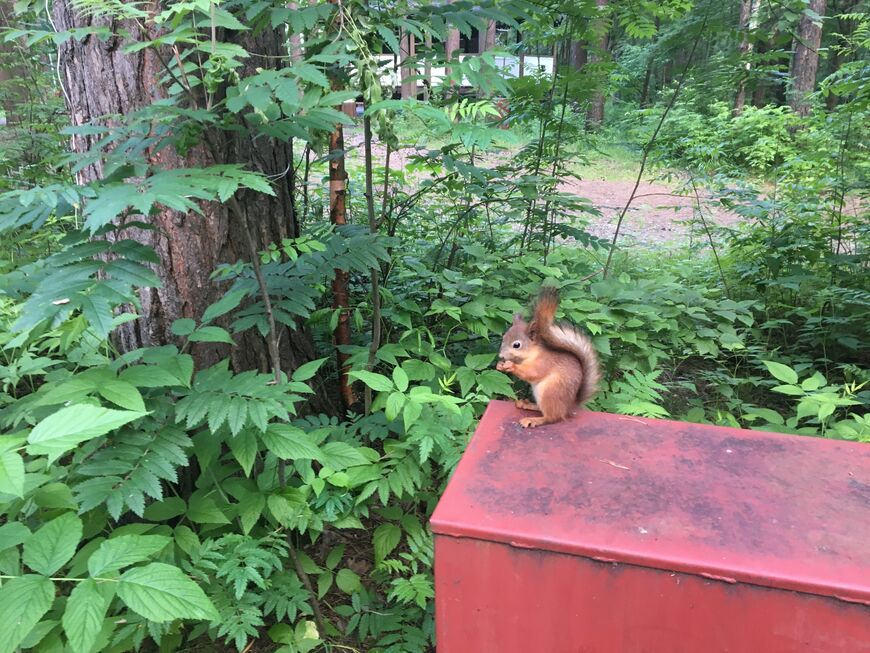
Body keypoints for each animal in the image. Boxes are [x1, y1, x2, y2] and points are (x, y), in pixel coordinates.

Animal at [498, 286, 600, 428]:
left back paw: (534, 420)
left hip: (550, 393)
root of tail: (570, 406)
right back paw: (527, 404)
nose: (501, 356)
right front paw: (500, 365)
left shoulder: (544, 362)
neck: (533, 353)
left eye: (516, 345)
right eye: (503, 338)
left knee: (552, 417)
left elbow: (532, 372)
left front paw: (511, 366)